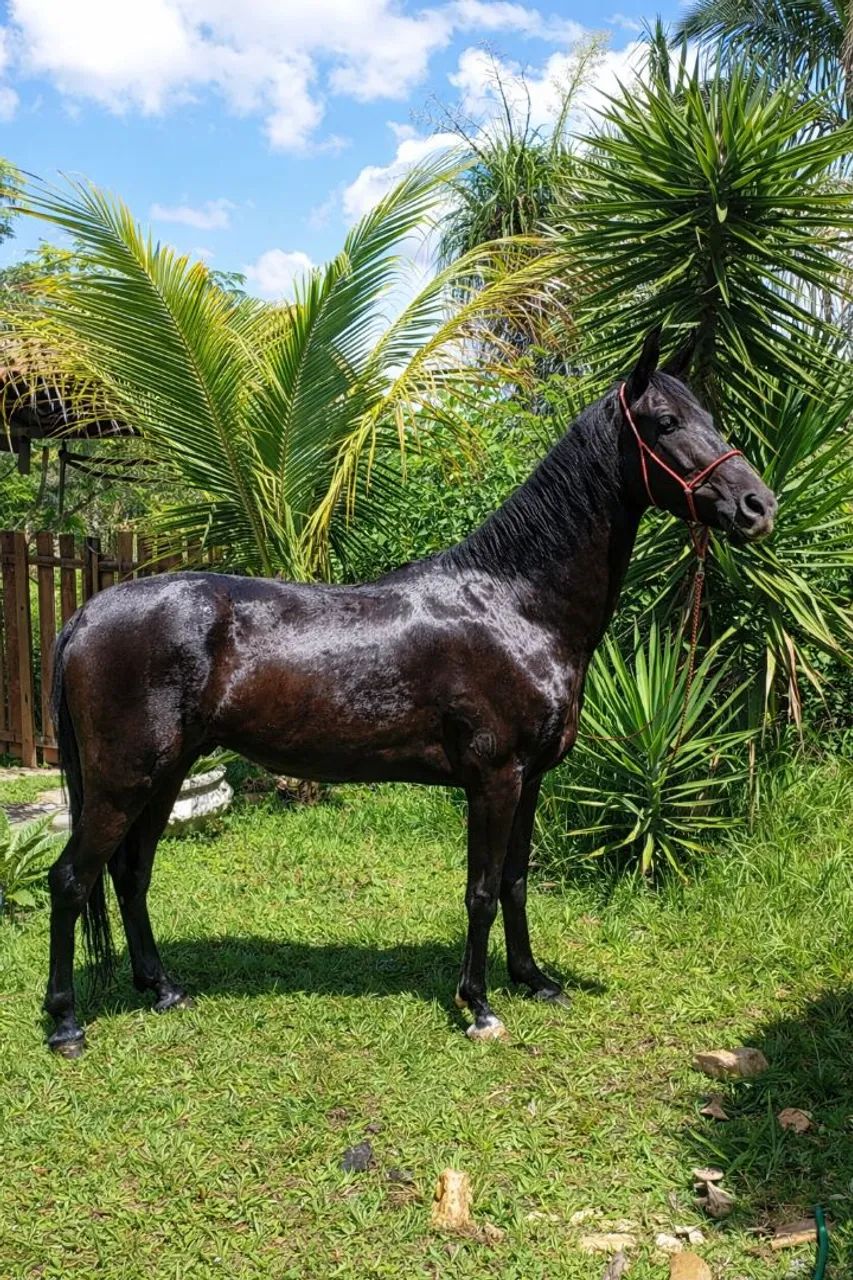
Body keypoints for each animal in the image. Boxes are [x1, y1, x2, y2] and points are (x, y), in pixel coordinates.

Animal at [44, 328, 776, 1056]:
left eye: (711, 417)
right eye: (666, 421)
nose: (758, 507)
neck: (514, 605)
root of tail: (86, 613)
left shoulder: (530, 779)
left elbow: (516, 882)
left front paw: (534, 981)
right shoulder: (494, 778)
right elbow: (481, 890)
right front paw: (478, 1005)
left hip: (165, 774)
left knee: (130, 873)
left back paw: (163, 988)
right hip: (122, 780)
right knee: (72, 878)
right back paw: (66, 1024)